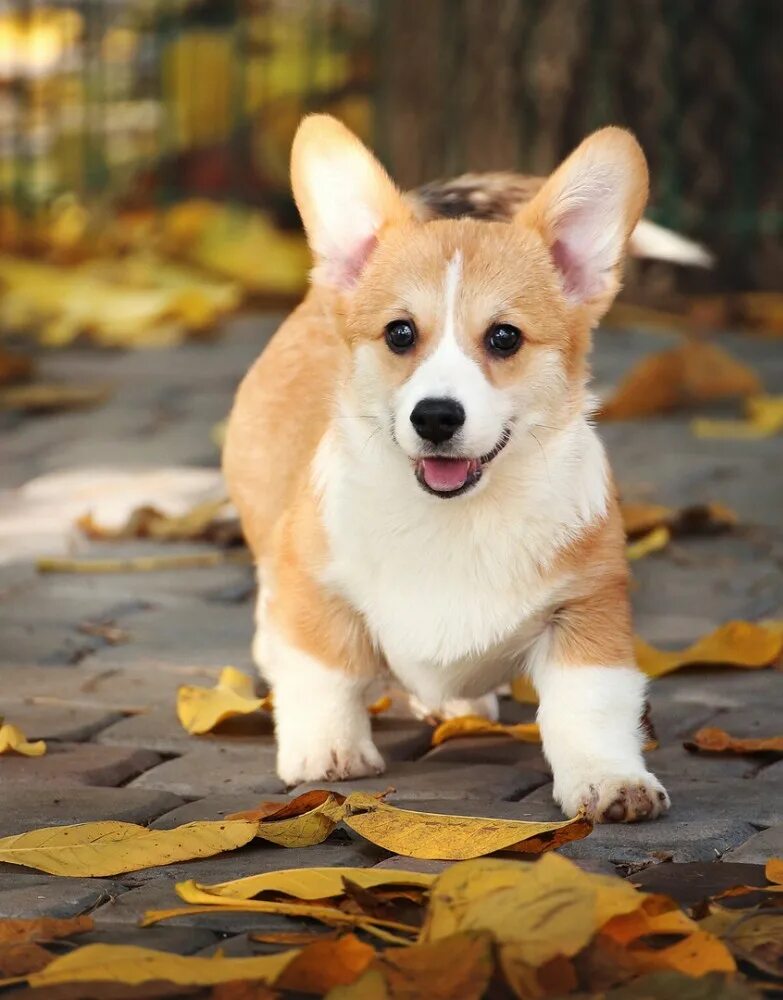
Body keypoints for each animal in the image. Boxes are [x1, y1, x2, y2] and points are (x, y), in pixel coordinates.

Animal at [224, 115, 672, 820]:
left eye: (505, 338)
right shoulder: (317, 584)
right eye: (400, 333)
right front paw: (327, 750)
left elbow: (591, 706)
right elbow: (325, 672)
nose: (435, 417)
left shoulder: (586, 610)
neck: (454, 519)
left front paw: (610, 780)